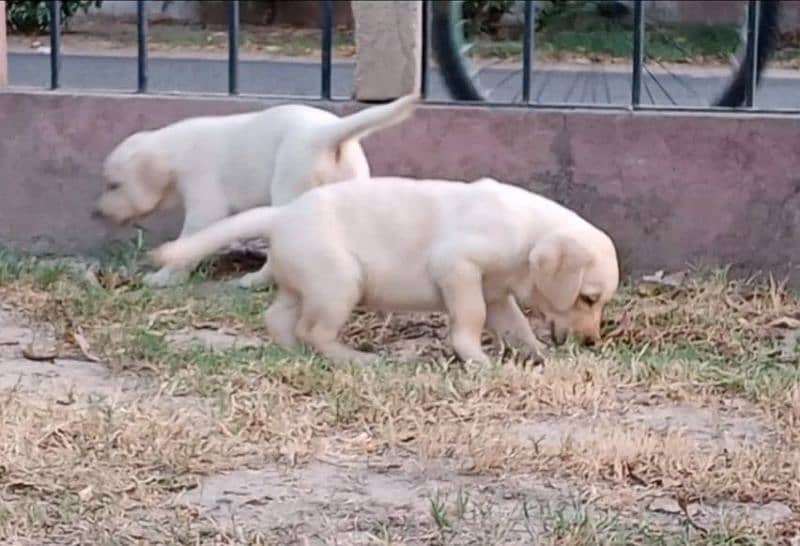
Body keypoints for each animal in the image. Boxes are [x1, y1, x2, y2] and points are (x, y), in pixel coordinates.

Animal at [94, 94, 418, 288]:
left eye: (114, 184)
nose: (96, 213)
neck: (175, 149)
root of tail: (326, 135)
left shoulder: (204, 201)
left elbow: (190, 240)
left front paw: (164, 277)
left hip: (289, 190)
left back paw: (255, 281)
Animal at [152, 178, 624, 366]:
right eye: (587, 297)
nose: (592, 342)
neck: (525, 233)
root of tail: (282, 215)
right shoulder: (458, 269)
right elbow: (470, 321)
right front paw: (476, 359)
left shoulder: (495, 293)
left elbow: (518, 327)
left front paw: (537, 355)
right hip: (340, 282)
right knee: (313, 331)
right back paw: (357, 358)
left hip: (306, 283)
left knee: (280, 319)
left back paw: (293, 352)